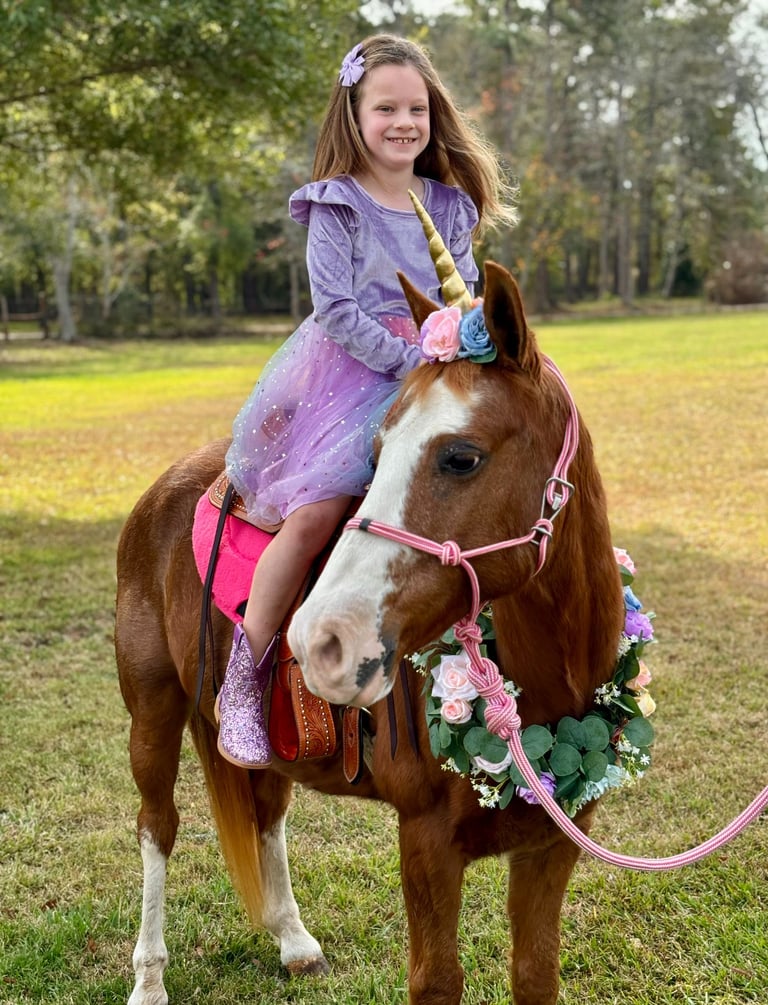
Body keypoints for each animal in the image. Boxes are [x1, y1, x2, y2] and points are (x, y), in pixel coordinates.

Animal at [115, 257, 624, 1005]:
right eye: (376, 452)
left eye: (461, 457)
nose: (319, 642)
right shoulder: (427, 842)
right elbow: (436, 981)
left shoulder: (553, 844)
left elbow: (535, 975)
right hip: (152, 709)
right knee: (158, 827)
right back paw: (149, 978)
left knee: (266, 812)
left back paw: (295, 942)